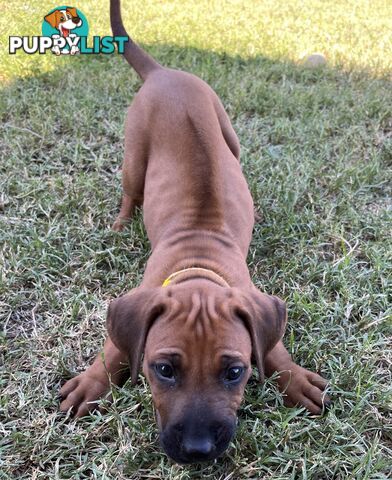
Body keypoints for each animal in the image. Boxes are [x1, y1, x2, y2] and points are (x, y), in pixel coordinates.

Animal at [59, 0, 330, 464]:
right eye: (164, 370)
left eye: (235, 371)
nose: (198, 450)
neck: (198, 266)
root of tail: (163, 72)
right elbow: (114, 349)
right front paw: (91, 383)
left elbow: (273, 348)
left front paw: (294, 378)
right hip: (134, 155)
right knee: (129, 192)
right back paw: (119, 224)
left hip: (227, 130)